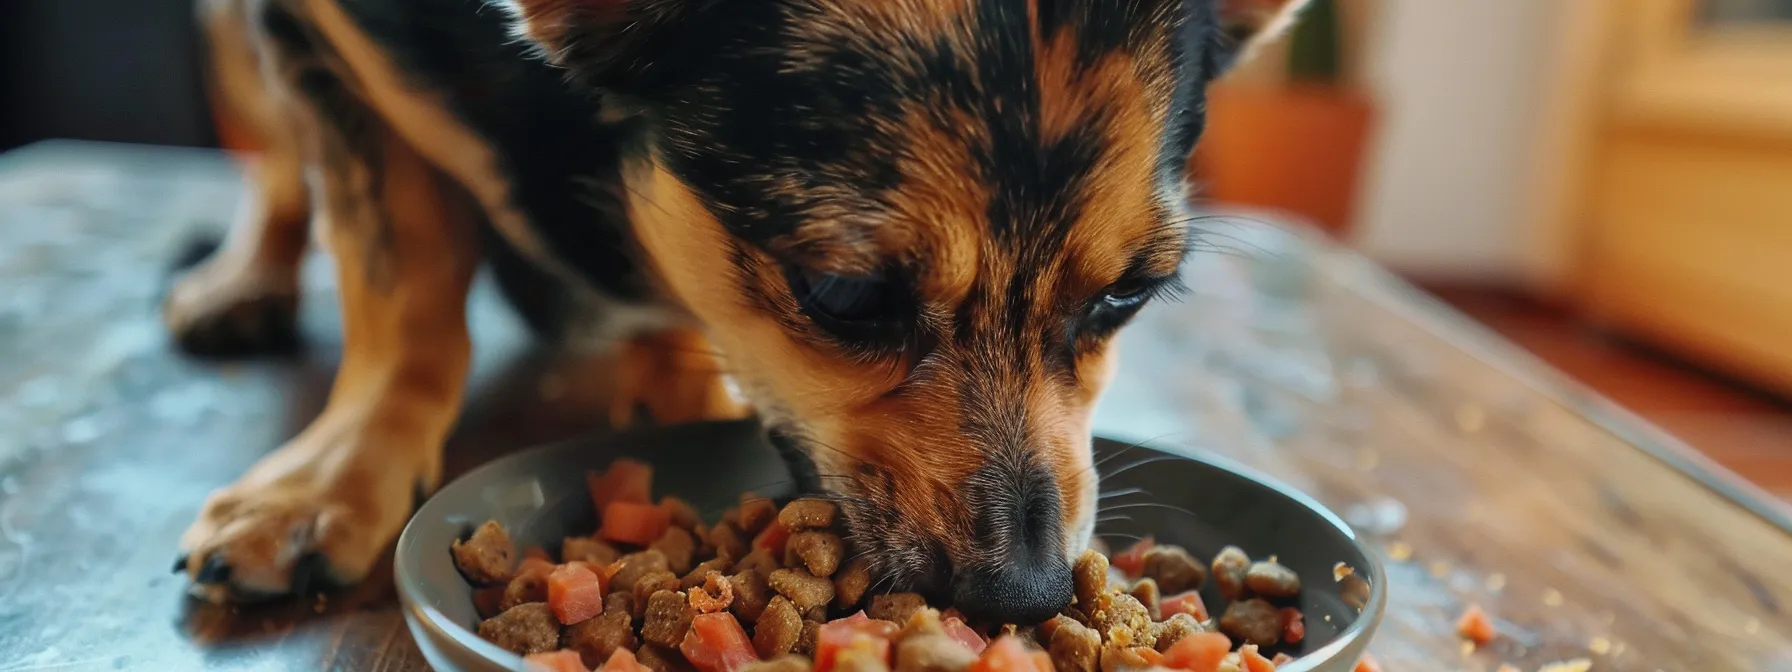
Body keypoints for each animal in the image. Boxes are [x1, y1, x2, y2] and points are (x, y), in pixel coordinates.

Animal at [168, 0, 1311, 623]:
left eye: (1128, 293)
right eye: (843, 294)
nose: (1026, 598)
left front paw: (677, 375)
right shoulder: (332, 42)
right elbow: (401, 285)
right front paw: (331, 480)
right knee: (279, 169)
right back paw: (242, 280)